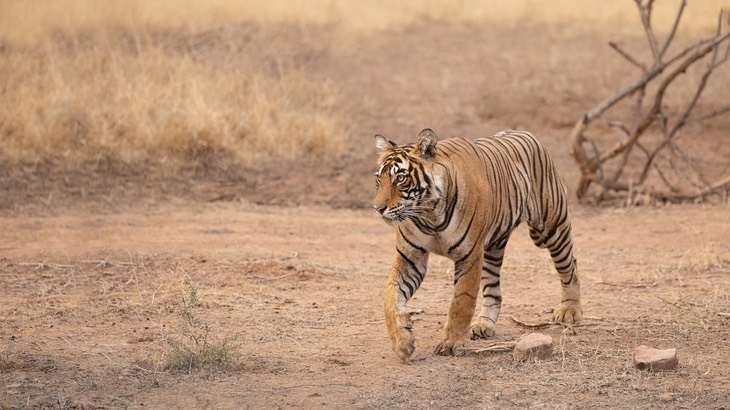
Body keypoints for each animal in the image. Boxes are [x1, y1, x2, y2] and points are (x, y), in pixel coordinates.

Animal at [372, 129, 576, 362]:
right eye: (379, 178)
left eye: (400, 178)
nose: (377, 208)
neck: (429, 215)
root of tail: (525, 132)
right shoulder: (410, 256)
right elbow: (390, 296)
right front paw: (402, 342)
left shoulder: (468, 255)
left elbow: (462, 300)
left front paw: (451, 342)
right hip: (493, 248)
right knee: (493, 290)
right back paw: (483, 324)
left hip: (552, 228)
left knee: (570, 266)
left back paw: (570, 311)